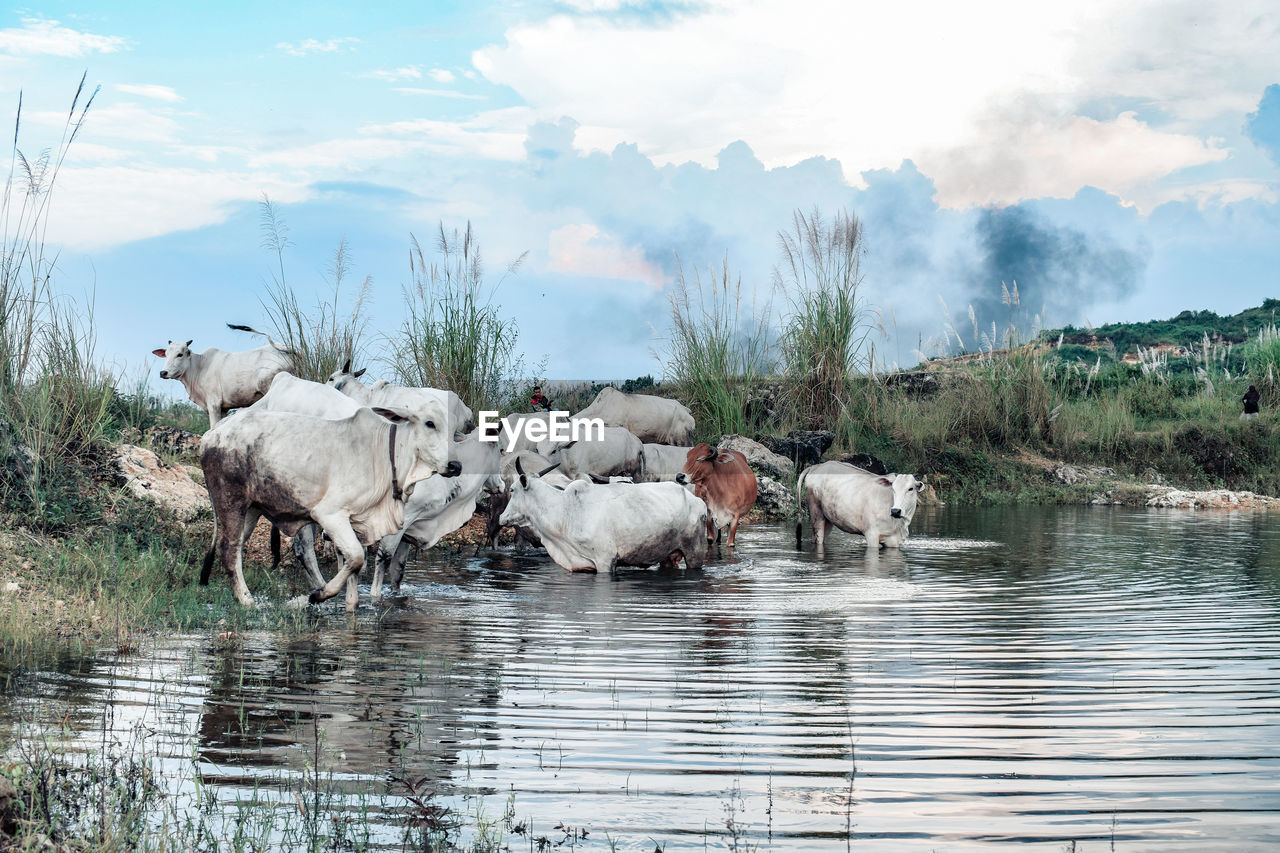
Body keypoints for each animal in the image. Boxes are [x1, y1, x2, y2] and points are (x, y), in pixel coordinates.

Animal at [152, 320, 294, 425]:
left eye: (180, 354)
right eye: (166, 354)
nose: (163, 373)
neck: (199, 368)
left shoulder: (214, 404)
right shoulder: (224, 409)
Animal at [199, 394, 460, 607]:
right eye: (429, 423)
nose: (455, 465)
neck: (386, 456)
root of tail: (214, 432)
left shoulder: (357, 522)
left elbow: (354, 569)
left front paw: (349, 607)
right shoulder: (330, 515)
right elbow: (356, 557)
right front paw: (318, 594)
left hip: (251, 509)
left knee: (237, 548)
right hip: (230, 501)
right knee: (228, 549)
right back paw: (247, 601)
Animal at [368, 432, 501, 604]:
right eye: (501, 450)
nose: (501, 484)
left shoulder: (408, 532)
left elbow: (398, 569)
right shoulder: (402, 520)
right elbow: (383, 560)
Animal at [496, 458, 711, 571]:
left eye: (513, 490)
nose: (501, 517)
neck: (565, 512)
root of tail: (697, 500)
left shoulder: (605, 561)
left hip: (695, 553)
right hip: (668, 555)